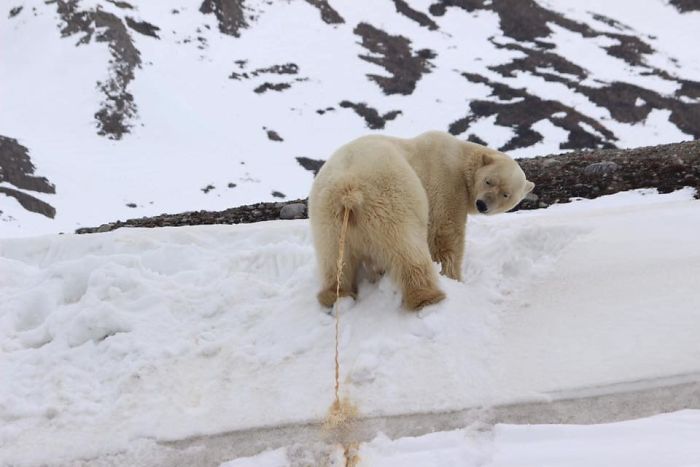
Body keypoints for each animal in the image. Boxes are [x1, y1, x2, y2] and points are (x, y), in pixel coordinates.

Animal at [308, 130, 535, 311]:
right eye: (489, 181)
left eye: (506, 194)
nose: (482, 205)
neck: (460, 155)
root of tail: (348, 190)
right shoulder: (447, 181)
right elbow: (445, 234)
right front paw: (454, 277)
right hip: (392, 200)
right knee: (407, 249)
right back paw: (428, 297)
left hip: (327, 217)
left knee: (334, 259)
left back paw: (336, 295)